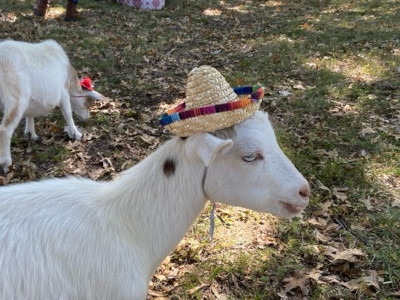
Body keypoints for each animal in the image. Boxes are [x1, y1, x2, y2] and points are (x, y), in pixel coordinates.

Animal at [0, 38, 108, 172]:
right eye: (88, 101)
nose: (86, 118)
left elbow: (30, 116)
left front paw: (31, 134)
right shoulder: (63, 93)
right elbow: (68, 113)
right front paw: (76, 133)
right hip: (16, 98)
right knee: (5, 130)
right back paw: (6, 164)